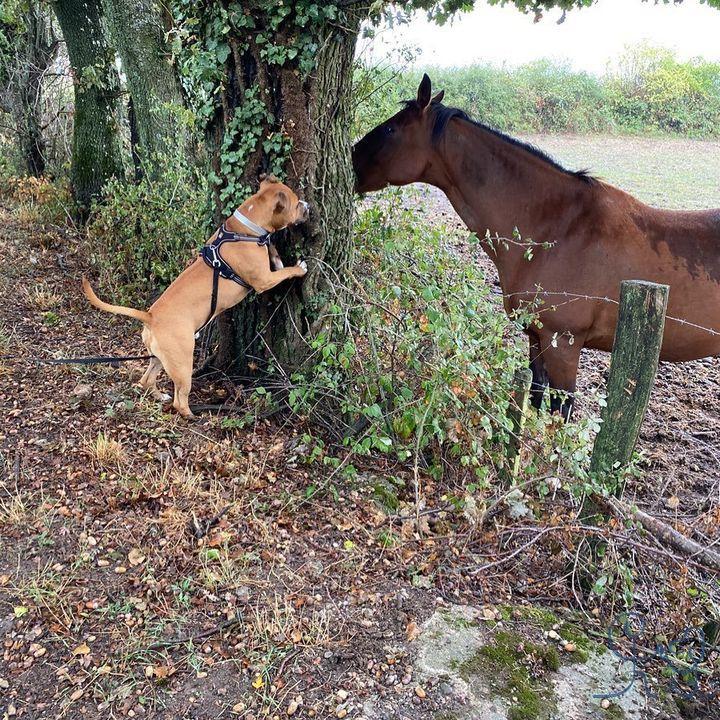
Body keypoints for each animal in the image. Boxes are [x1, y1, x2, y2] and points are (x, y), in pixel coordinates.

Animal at [84, 176, 310, 420]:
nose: (307, 206)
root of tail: (150, 316)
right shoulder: (264, 280)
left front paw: (274, 252)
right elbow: (285, 272)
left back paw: (160, 396)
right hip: (183, 362)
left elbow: (276, 257)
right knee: (179, 399)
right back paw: (191, 415)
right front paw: (299, 268)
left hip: (158, 358)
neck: (246, 229)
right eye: (296, 203)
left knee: (146, 380)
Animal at [352, 74, 720, 416]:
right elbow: (534, 398)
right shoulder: (536, 339)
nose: (350, 157)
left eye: (390, 129)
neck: (559, 228)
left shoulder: (563, 347)